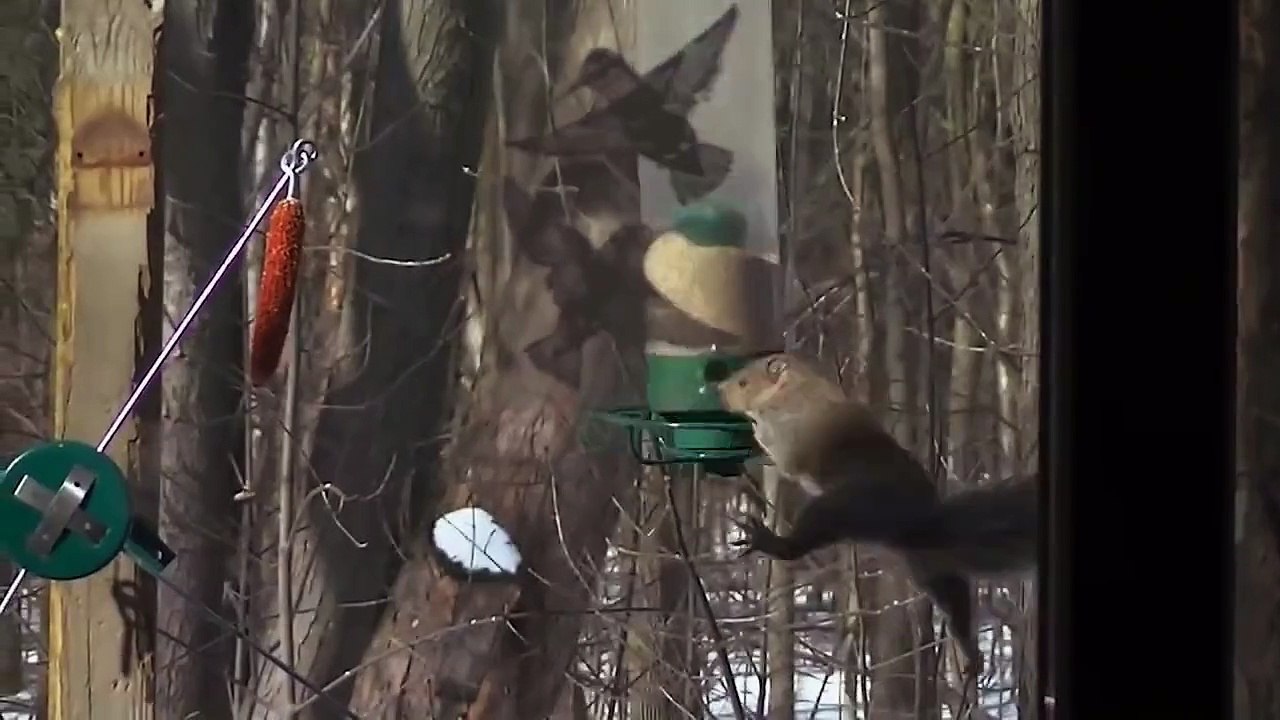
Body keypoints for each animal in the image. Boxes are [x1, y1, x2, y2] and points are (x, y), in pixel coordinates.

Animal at [716, 351, 1038, 667]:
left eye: (744, 383)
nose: (720, 391)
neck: (792, 388)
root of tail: (924, 523)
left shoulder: (791, 435)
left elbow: (776, 449)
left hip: (837, 509)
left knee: (796, 546)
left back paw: (764, 539)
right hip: (928, 567)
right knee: (956, 601)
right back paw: (972, 656)